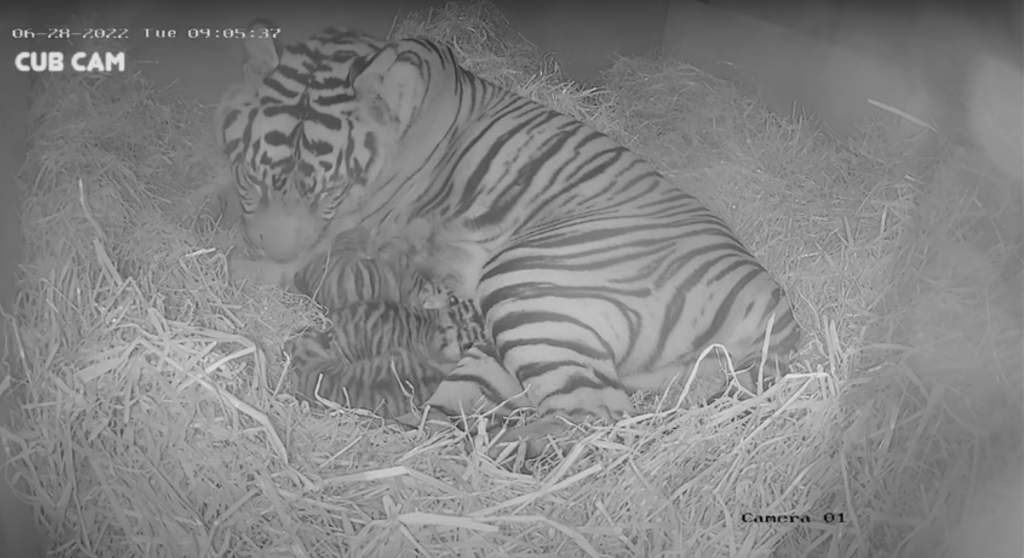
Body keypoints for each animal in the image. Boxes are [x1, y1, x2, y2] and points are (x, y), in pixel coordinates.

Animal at [212, 22, 802, 459]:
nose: (269, 244)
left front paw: (237, 262)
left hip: (528, 281)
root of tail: (774, 304)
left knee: (597, 416)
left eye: (328, 190)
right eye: (252, 177)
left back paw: (495, 452)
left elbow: (292, 263)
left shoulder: (344, 235)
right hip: (506, 350)